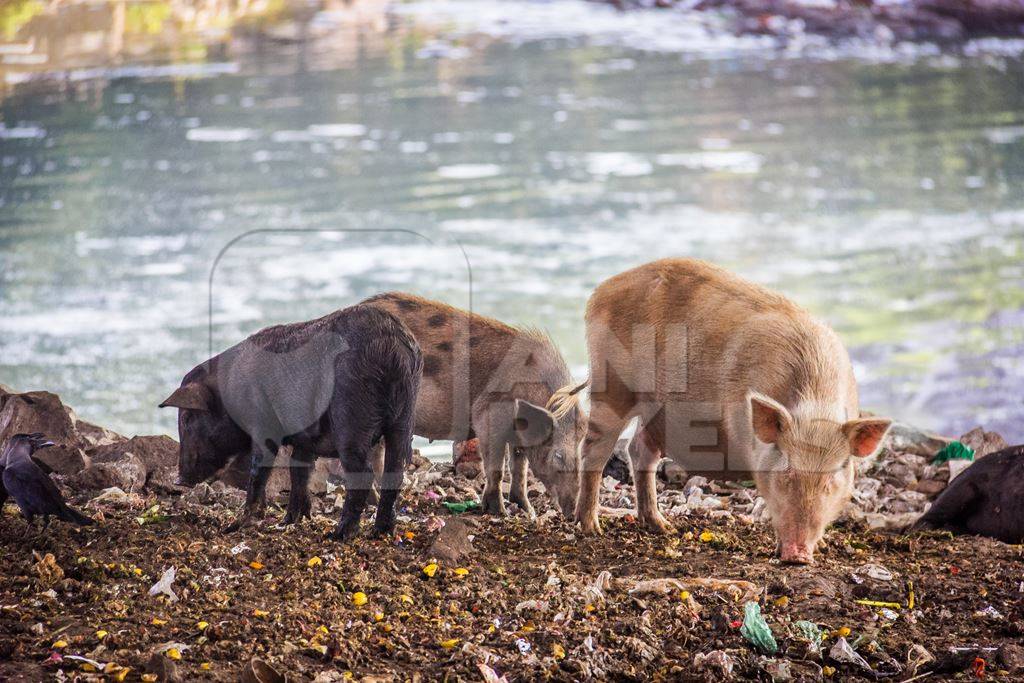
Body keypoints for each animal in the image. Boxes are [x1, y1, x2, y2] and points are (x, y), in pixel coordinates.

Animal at [158, 305, 419, 540]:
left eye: (188, 418)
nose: (179, 480)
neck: (228, 394)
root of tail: (394, 346)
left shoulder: (262, 427)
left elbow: (259, 469)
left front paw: (235, 526)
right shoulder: (306, 439)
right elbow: (299, 471)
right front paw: (289, 521)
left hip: (352, 419)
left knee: (363, 473)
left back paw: (338, 535)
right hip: (404, 419)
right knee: (395, 471)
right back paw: (380, 532)